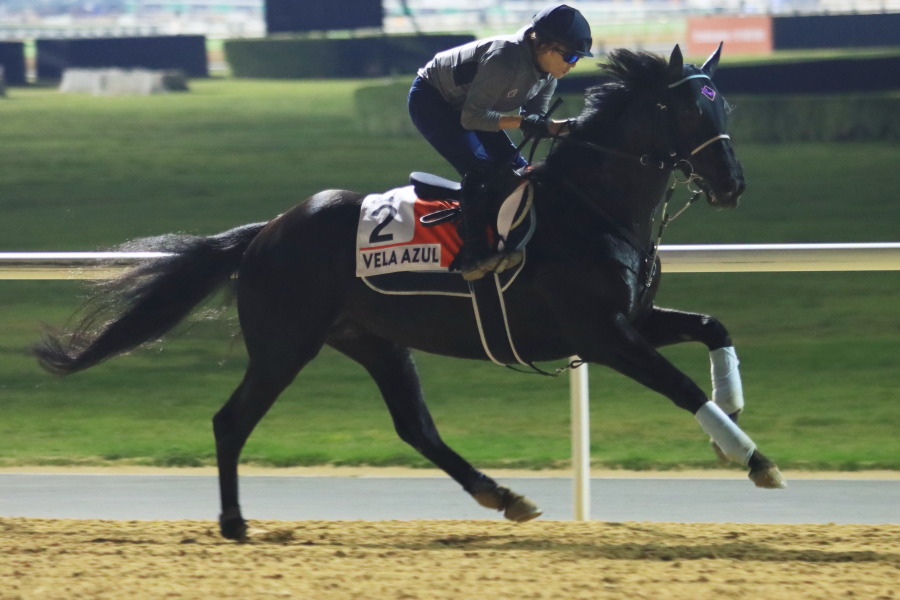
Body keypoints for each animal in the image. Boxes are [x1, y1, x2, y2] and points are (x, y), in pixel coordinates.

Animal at [33, 45, 788, 540]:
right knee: (231, 421)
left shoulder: (632, 318)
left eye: (722, 103)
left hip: (374, 341)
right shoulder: (600, 334)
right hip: (284, 344)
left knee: (414, 426)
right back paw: (233, 521)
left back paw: (502, 496)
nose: (731, 183)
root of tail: (266, 232)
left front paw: (732, 408)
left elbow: (713, 326)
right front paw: (752, 458)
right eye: (684, 108)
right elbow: (679, 386)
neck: (594, 207)